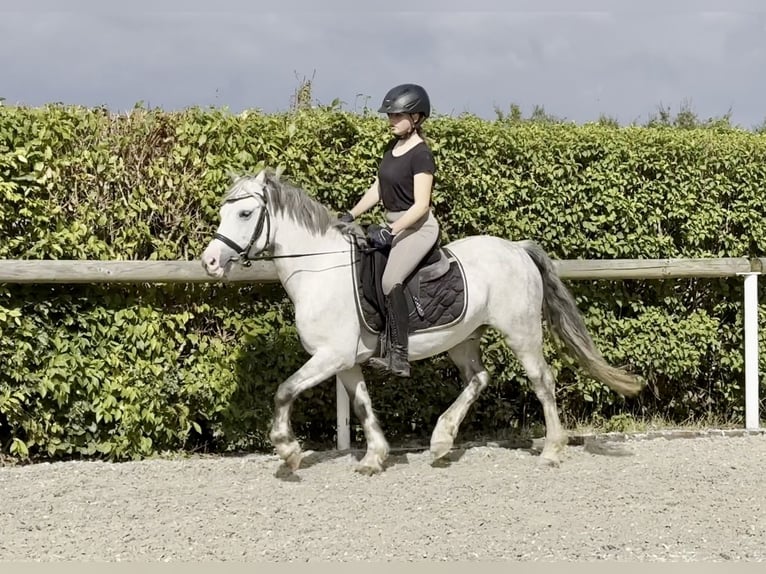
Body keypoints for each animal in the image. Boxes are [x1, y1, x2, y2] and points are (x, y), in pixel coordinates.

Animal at [201, 169, 644, 474]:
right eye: (223, 211)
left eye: (245, 213)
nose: (210, 262)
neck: (320, 270)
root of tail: (516, 248)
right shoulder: (346, 362)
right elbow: (362, 404)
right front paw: (374, 458)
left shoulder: (330, 356)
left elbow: (284, 391)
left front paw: (288, 450)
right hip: (463, 337)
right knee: (479, 378)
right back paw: (442, 441)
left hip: (521, 333)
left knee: (542, 381)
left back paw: (551, 450)